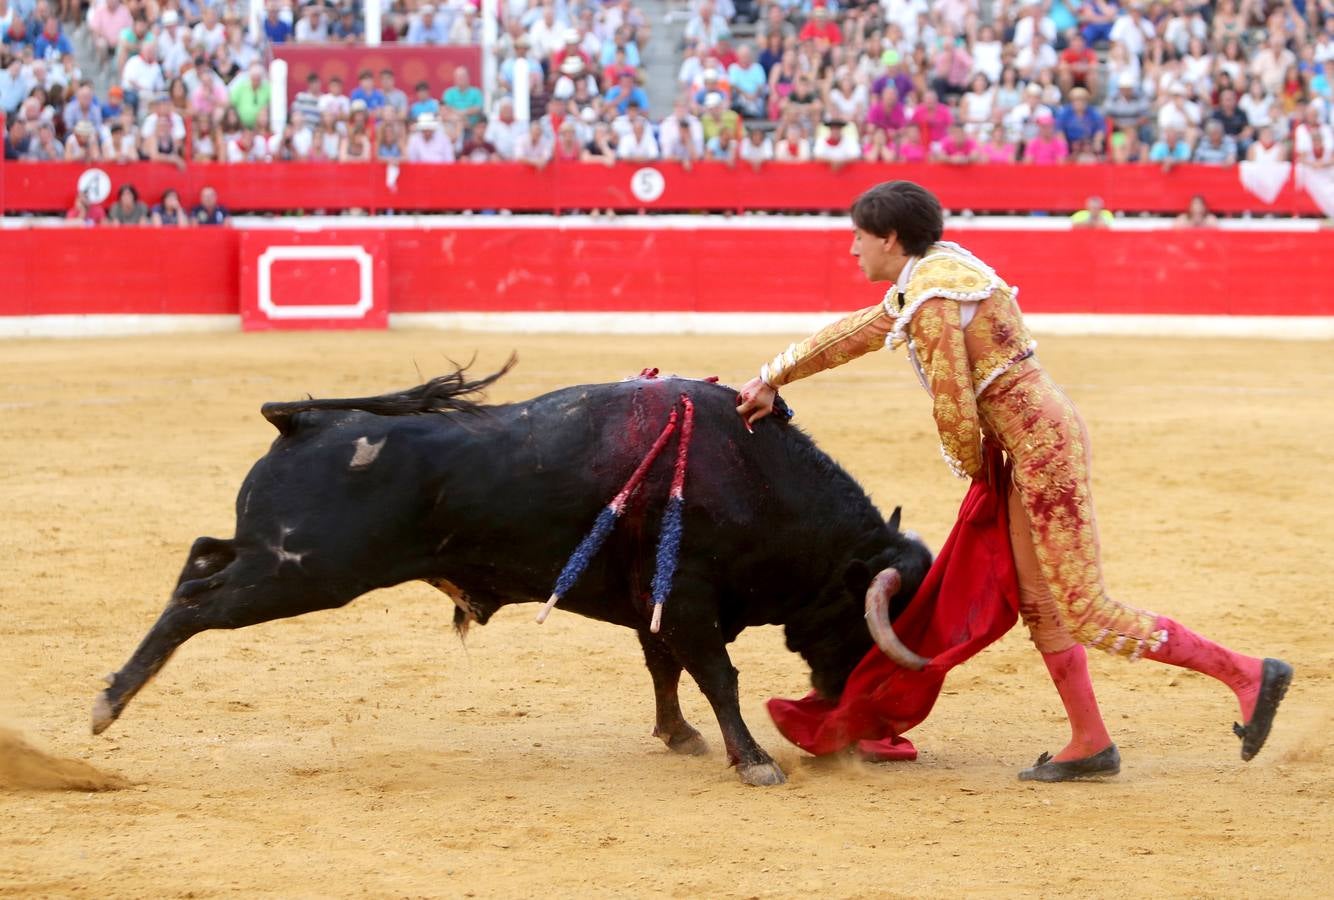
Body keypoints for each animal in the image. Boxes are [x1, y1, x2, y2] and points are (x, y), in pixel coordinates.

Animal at [94, 365, 933, 789]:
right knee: (196, 601)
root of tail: (305, 419)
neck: (754, 475)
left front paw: (680, 736)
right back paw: (107, 703)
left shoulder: (656, 602)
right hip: (301, 572)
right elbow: (716, 676)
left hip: (276, 558)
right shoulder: (688, 595)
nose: (860, 719)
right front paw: (755, 762)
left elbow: (664, 671)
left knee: (202, 554)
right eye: (866, 621)